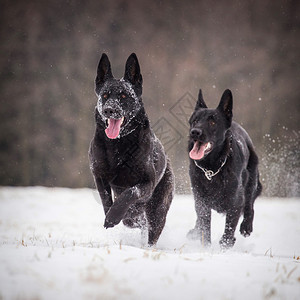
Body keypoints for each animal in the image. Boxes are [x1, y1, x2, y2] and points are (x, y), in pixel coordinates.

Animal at [186, 89, 262, 248]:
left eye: (212, 122)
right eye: (195, 120)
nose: (195, 132)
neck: (212, 167)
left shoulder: (236, 201)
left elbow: (229, 229)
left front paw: (225, 244)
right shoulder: (201, 200)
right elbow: (204, 224)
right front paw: (206, 247)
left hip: (251, 181)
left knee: (250, 205)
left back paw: (246, 226)